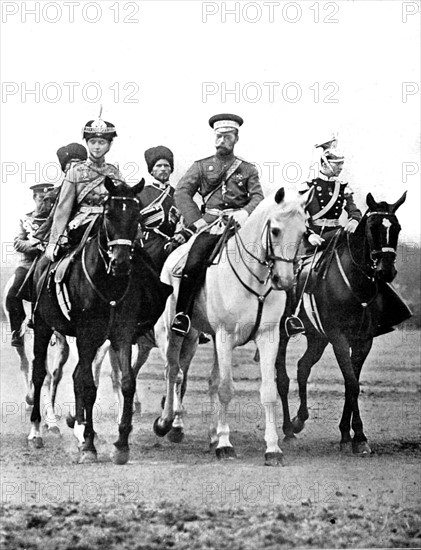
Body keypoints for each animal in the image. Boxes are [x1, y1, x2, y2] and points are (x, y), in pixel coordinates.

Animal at [28, 177, 171, 466]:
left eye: (136, 215)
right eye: (108, 214)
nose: (120, 262)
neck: (109, 283)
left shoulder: (121, 334)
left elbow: (126, 382)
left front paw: (121, 444)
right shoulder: (86, 334)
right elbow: (88, 386)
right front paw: (89, 446)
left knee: (74, 374)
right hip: (42, 326)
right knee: (40, 373)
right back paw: (37, 431)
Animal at [153, 189, 310, 466]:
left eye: (302, 232)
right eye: (275, 230)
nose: (284, 280)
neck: (255, 279)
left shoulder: (268, 337)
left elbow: (268, 391)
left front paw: (272, 448)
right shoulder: (225, 336)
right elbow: (226, 389)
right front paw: (226, 445)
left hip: (198, 338)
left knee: (202, 377)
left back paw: (209, 433)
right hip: (178, 332)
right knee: (173, 372)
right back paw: (168, 423)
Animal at [276, 192, 410, 454]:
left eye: (397, 228)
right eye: (373, 227)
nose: (386, 271)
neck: (355, 282)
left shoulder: (362, 341)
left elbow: (352, 384)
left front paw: (350, 436)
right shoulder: (338, 338)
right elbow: (352, 383)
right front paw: (357, 436)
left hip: (317, 337)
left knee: (303, 367)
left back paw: (299, 420)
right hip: (281, 334)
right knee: (282, 377)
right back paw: (288, 429)